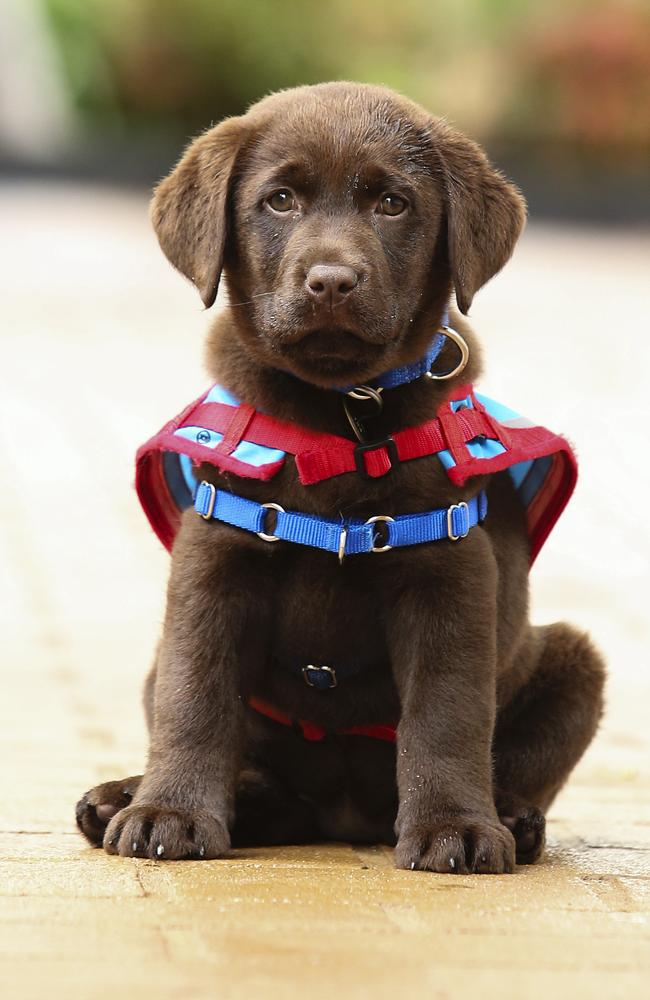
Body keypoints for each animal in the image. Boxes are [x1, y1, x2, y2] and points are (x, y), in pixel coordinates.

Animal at [74, 86, 604, 876]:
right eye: (280, 200)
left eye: (391, 203)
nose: (331, 281)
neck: (341, 417)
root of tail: (341, 813)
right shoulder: (213, 561)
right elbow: (194, 698)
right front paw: (169, 812)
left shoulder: (450, 574)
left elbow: (446, 715)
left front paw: (455, 827)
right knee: (251, 766)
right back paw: (135, 795)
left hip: (574, 661)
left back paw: (510, 816)